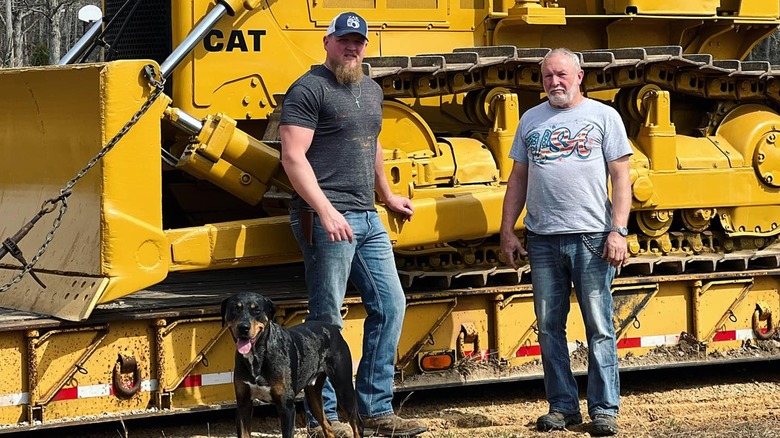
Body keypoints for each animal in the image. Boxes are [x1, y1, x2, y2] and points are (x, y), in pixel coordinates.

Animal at [222, 290, 362, 438]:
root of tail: (333, 328)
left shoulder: (286, 407)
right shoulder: (243, 404)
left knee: (357, 424)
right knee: (327, 425)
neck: (259, 355)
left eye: (257, 310)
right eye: (235, 308)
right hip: (313, 396)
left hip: (344, 389)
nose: (243, 327)